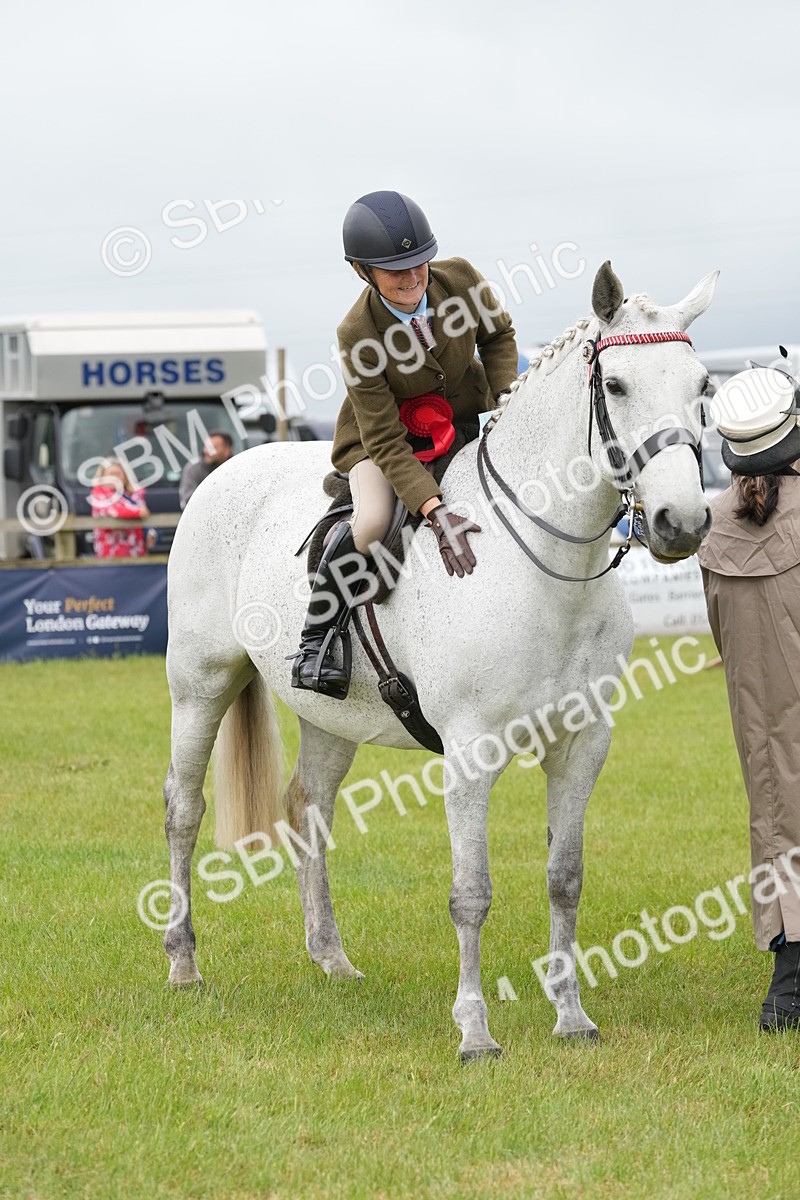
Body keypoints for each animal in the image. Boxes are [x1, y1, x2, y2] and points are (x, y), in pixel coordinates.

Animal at [162, 260, 717, 1060]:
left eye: (703, 386)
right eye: (614, 387)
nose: (683, 523)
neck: (546, 565)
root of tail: (224, 469)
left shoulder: (583, 743)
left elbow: (565, 877)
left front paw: (570, 1015)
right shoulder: (471, 750)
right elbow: (471, 893)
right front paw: (475, 1030)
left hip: (329, 712)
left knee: (308, 807)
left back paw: (331, 958)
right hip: (200, 684)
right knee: (184, 810)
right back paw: (183, 963)